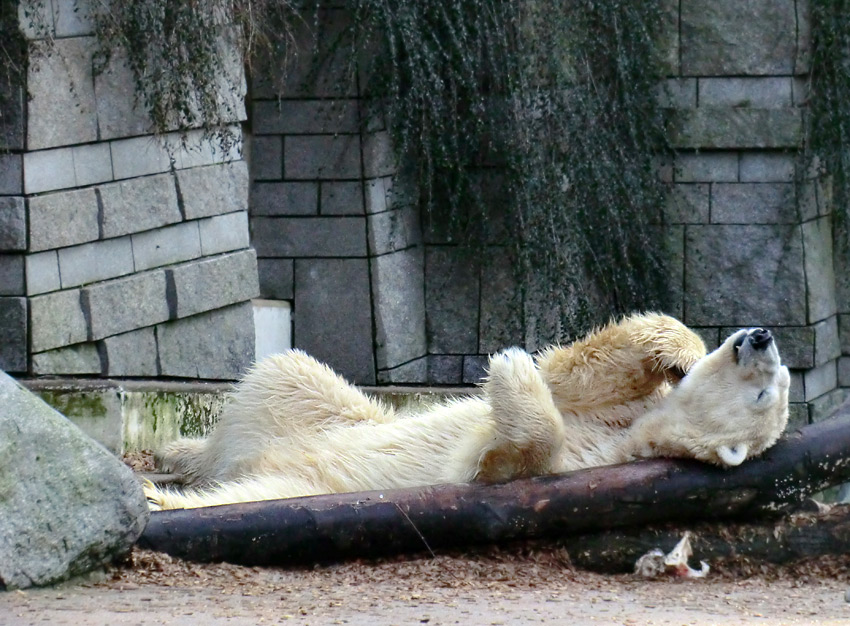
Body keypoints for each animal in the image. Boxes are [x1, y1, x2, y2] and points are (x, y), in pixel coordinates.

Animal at [146, 312, 788, 508]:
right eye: (779, 377)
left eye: (768, 393)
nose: (761, 336)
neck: (635, 437)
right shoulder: (614, 413)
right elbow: (575, 377)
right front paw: (677, 350)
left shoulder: (589, 462)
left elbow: (497, 461)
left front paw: (509, 370)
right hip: (315, 409)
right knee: (285, 372)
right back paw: (180, 452)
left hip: (311, 483)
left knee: (249, 495)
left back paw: (160, 497)